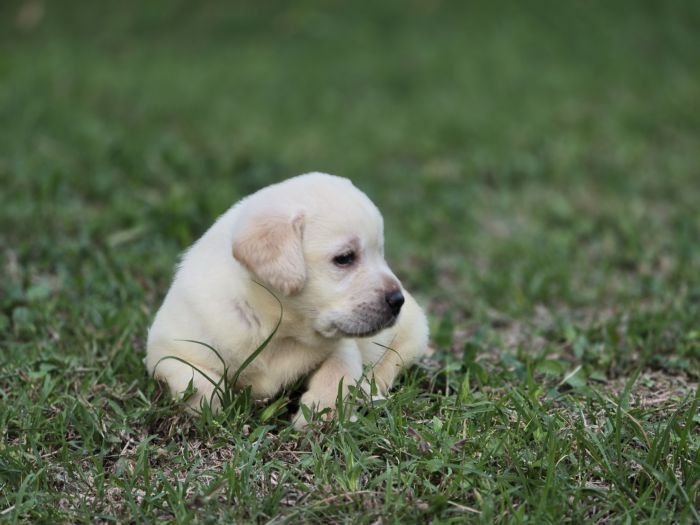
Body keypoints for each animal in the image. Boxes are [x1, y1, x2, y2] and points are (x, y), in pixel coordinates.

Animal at [146, 172, 430, 426]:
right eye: (344, 258)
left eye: (381, 253)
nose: (397, 300)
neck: (277, 325)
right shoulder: (165, 349)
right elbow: (197, 381)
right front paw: (212, 412)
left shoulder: (343, 346)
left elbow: (337, 374)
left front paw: (320, 415)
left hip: (413, 334)